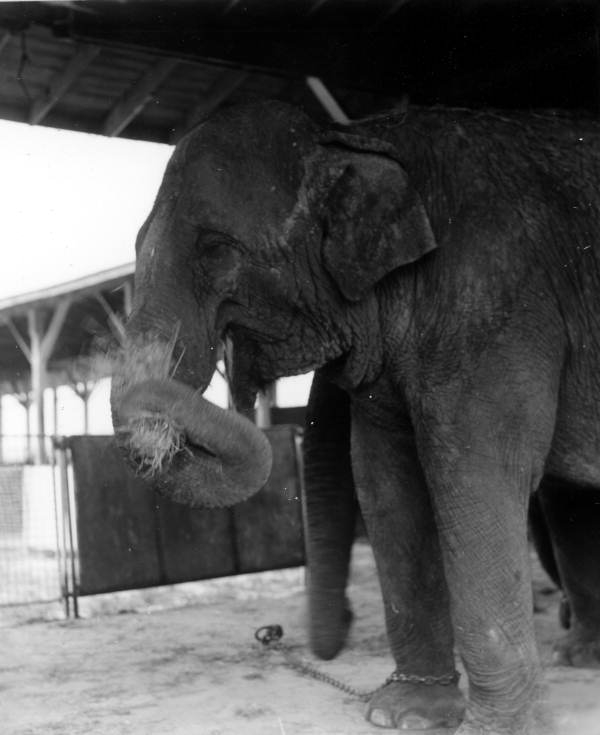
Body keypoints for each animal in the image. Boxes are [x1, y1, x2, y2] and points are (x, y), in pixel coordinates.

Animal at [110, 101, 600, 735]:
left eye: (218, 251)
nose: (274, 633)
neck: (355, 136)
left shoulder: (496, 300)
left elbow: (477, 472)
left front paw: (492, 727)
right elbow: (385, 481)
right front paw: (404, 714)